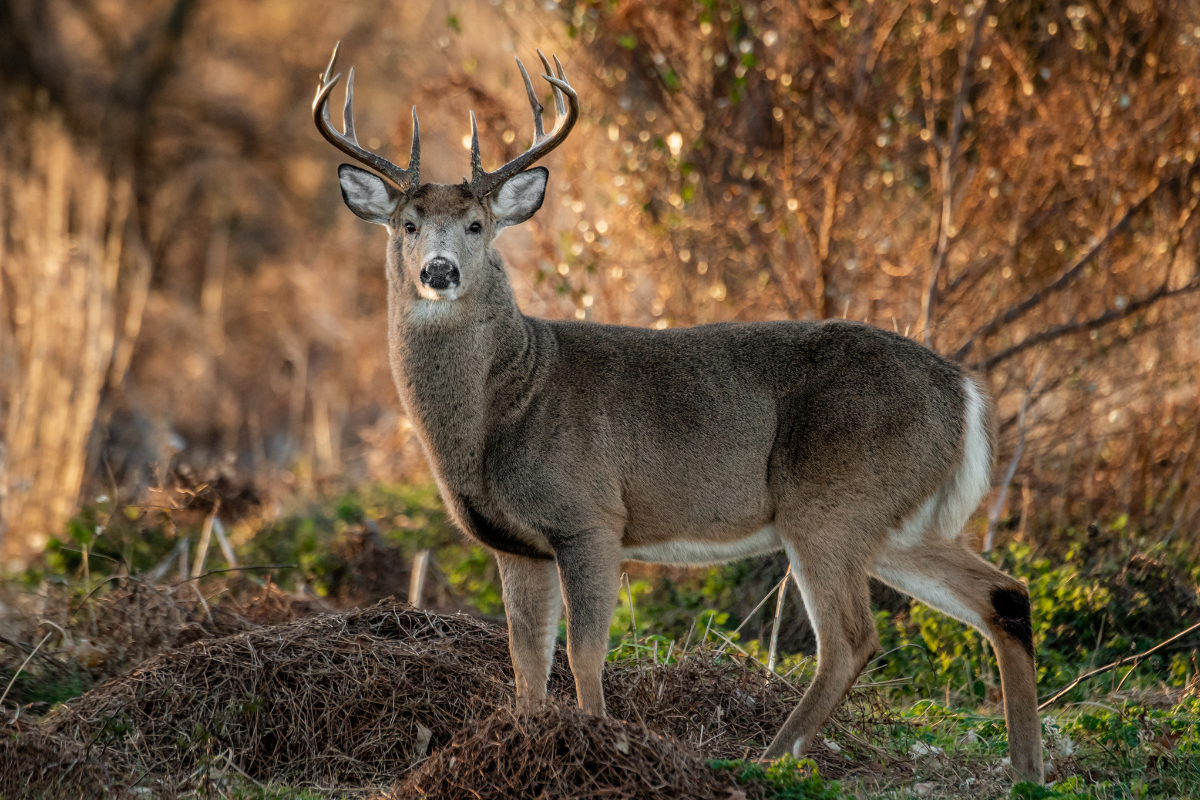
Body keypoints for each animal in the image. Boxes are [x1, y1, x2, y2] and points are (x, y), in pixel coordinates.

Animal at [309, 40, 1041, 786]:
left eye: (477, 225)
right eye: (408, 224)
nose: (440, 271)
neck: (503, 407)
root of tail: (964, 389)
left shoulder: (591, 516)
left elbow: (583, 653)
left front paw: (596, 746)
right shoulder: (515, 543)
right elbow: (525, 661)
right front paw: (521, 744)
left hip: (831, 502)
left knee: (851, 639)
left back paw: (764, 761)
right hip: (896, 519)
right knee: (1005, 597)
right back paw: (1027, 770)